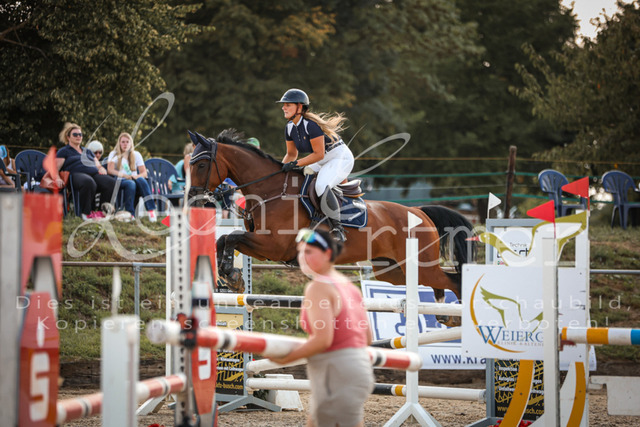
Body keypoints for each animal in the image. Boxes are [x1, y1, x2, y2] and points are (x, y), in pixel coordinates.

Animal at [188, 129, 475, 323]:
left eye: (201, 164)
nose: (193, 198)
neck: (272, 190)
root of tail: (419, 211)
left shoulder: (274, 246)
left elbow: (233, 236)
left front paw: (230, 274)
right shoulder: (263, 245)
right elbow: (224, 239)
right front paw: (231, 276)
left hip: (418, 265)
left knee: (453, 280)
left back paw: (460, 320)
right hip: (392, 270)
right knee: (437, 284)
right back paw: (446, 315)